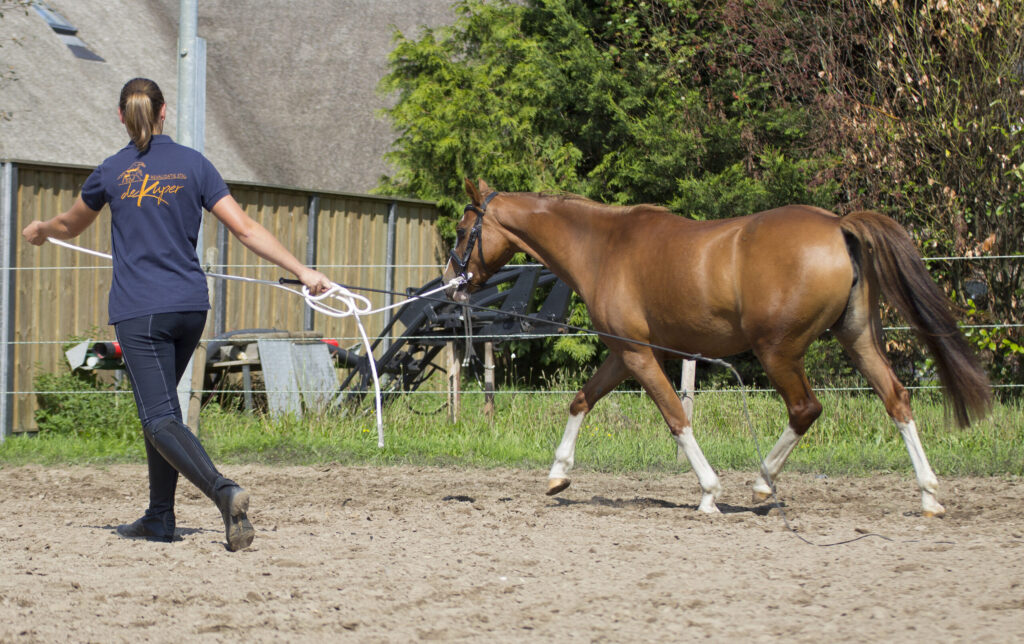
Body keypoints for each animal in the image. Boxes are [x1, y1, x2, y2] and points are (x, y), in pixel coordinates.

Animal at [444, 178, 987, 513]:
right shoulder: (626, 353)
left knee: (806, 409)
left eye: (462, 230)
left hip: (779, 352)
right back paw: (929, 495)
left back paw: (764, 481)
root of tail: (838, 225)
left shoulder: (640, 356)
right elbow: (581, 399)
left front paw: (708, 493)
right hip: (856, 340)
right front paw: (558, 475)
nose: (452, 284)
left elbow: (675, 418)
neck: (603, 247)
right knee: (897, 399)